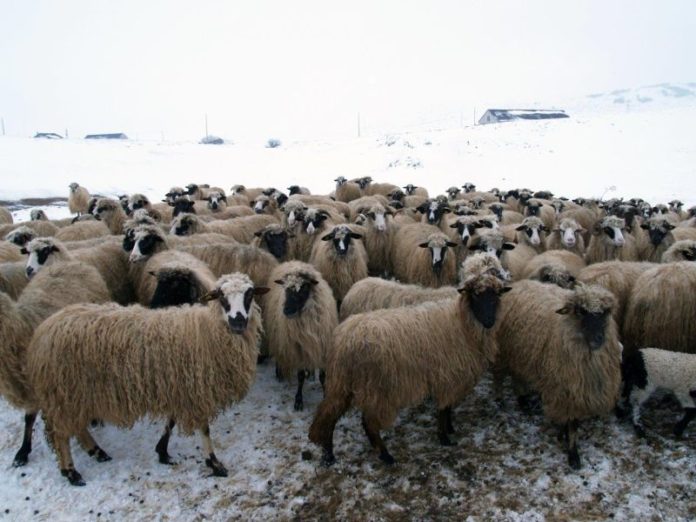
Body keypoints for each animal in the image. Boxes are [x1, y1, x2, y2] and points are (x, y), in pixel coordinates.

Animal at [25, 272, 266, 484]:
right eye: (221, 297)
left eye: (249, 295)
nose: (238, 323)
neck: (206, 331)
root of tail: (42, 333)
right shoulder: (195, 390)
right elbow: (204, 429)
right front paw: (214, 464)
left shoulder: (179, 386)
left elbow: (171, 420)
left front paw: (162, 451)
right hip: (64, 392)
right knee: (60, 434)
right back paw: (71, 472)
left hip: (75, 394)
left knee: (76, 427)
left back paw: (97, 451)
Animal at [264, 262, 338, 408]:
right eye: (286, 290)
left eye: (304, 289)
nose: (286, 310)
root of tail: (291, 262)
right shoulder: (298, 348)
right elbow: (300, 376)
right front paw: (298, 400)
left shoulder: (322, 345)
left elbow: (323, 376)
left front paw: (325, 395)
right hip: (277, 334)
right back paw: (279, 371)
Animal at [494, 280, 620, 468]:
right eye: (580, 312)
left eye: (606, 313)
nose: (599, 339)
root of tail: (518, 284)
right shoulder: (564, 389)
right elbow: (573, 425)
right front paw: (573, 454)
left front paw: (563, 434)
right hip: (504, 351)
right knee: (499, 377)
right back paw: (501, 400)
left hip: (521, 353)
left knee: (517, 376)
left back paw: (523, 401)